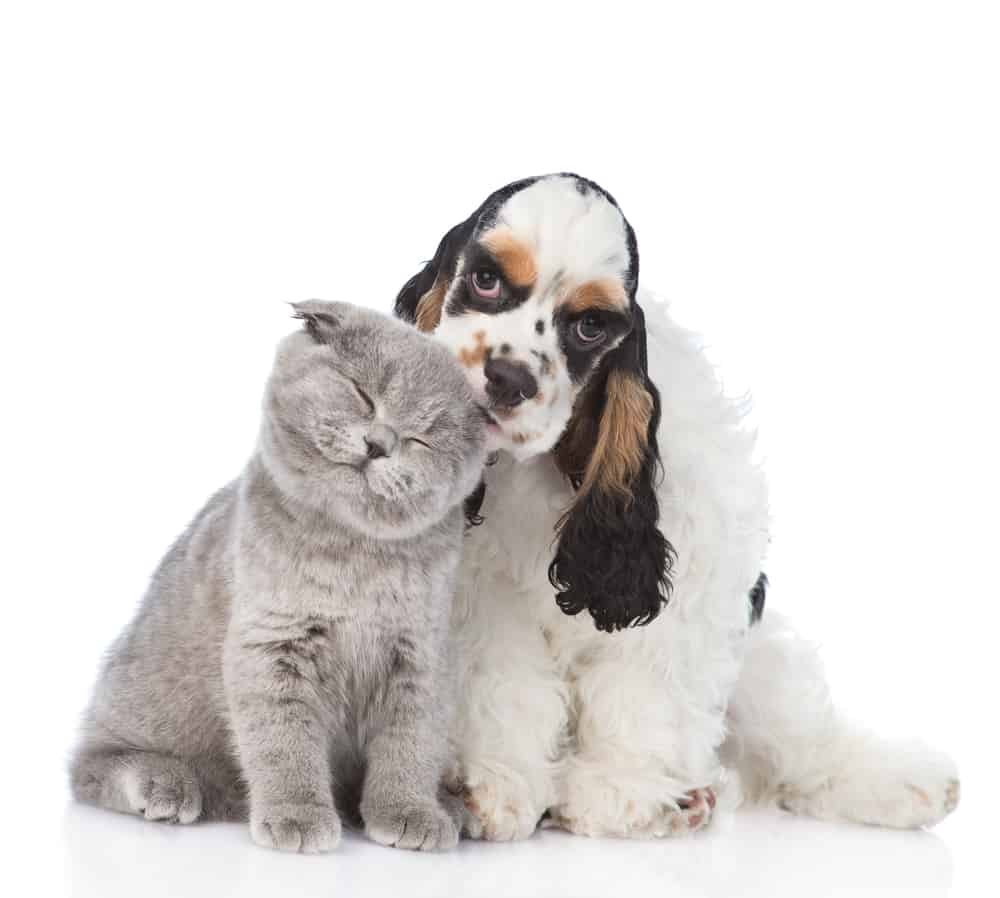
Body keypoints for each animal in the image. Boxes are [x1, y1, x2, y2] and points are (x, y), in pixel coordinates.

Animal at [69, 298, 484, 852]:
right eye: (361, 393)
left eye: (420, 438)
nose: (378, 444)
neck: (353, 552)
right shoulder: (271, 643)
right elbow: (285, 741)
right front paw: (297, 815)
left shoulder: (420, 656)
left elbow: (411, 742)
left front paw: (410, 811)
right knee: (89, 765)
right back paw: (164, 783)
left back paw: (451, 808)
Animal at [394, 172, 956, 836]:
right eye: (485, 279)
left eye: (589, 326)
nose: (509, 380)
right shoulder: (485, 594)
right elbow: (502, 682)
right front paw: (495, 786)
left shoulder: (688, 562)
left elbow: (645, 682)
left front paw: (620, 791)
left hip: (760, 651)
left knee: (798, 741)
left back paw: (894, 784)